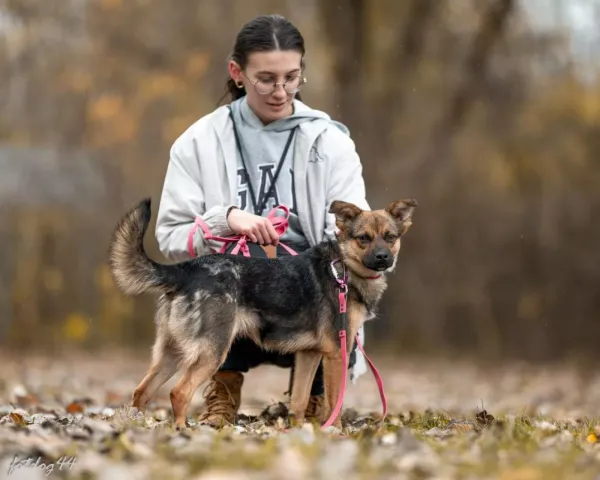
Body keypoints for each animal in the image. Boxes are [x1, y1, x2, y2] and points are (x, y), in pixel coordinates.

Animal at [108, 197, 418, 430]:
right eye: (363, 238)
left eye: (390, 237)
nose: (383, 258)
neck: (343, 267)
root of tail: (187, 270)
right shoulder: (336, 354)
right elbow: (335, 403)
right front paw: (336, 432)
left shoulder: (309, 355)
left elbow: (299, 401)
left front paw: (299, 430)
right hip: (213, 350)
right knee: (179, 391)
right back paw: (183, 429)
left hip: (171, 352)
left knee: (141, 391)